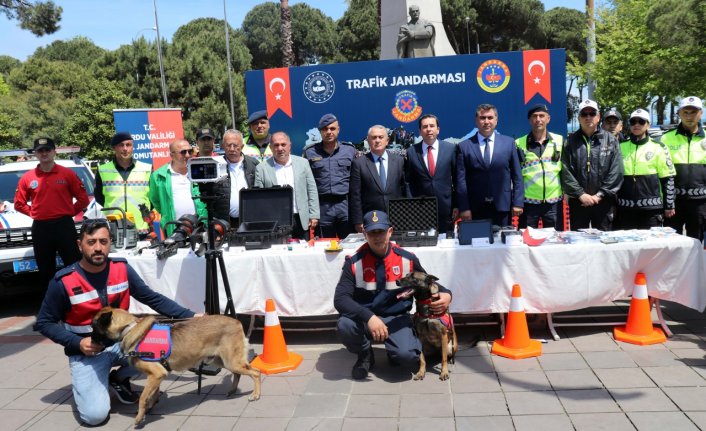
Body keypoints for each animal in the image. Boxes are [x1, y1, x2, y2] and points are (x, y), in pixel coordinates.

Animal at [91, 308, 262, 426]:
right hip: (221, 361)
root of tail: (236, 321)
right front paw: (149, 409)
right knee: (238, 373)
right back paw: (233, 390)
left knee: (256, 372)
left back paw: (255, 395)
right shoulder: (157, 376)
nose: (89, 341)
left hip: (230, 361)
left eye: (93, 327)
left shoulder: (156, 374)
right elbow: (151, 395)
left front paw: (139, 417)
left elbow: (143, 397)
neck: (129, 328)